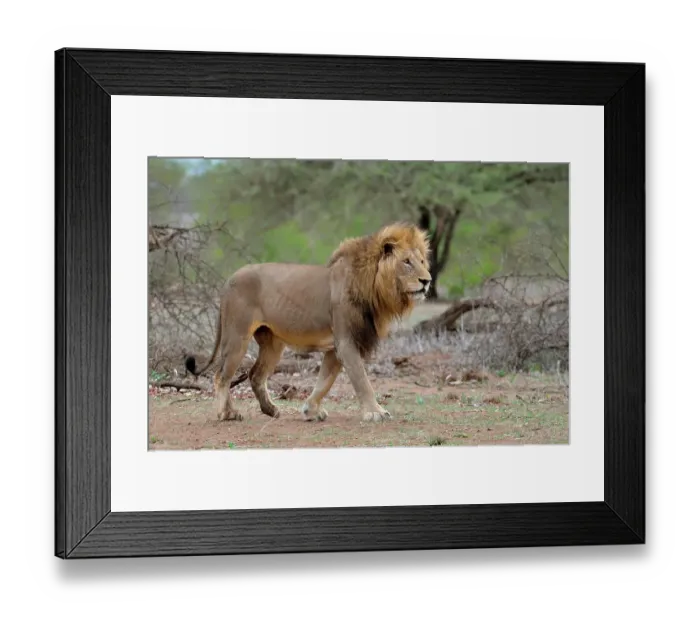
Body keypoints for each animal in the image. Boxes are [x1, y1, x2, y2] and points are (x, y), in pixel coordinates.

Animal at [185, 222, 432, 423]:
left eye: (421, 261)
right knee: (221, 376)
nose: (427, 281)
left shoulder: (335, 348)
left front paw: (310, 410)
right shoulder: (346, 341)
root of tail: (229, 280)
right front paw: (375, 413)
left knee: (255, 375)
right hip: (237, 337)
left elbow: (325, 381)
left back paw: (270, 410)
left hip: (273, 344)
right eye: (406, 262)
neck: (374, 288)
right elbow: (361, 380)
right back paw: (227, 413)